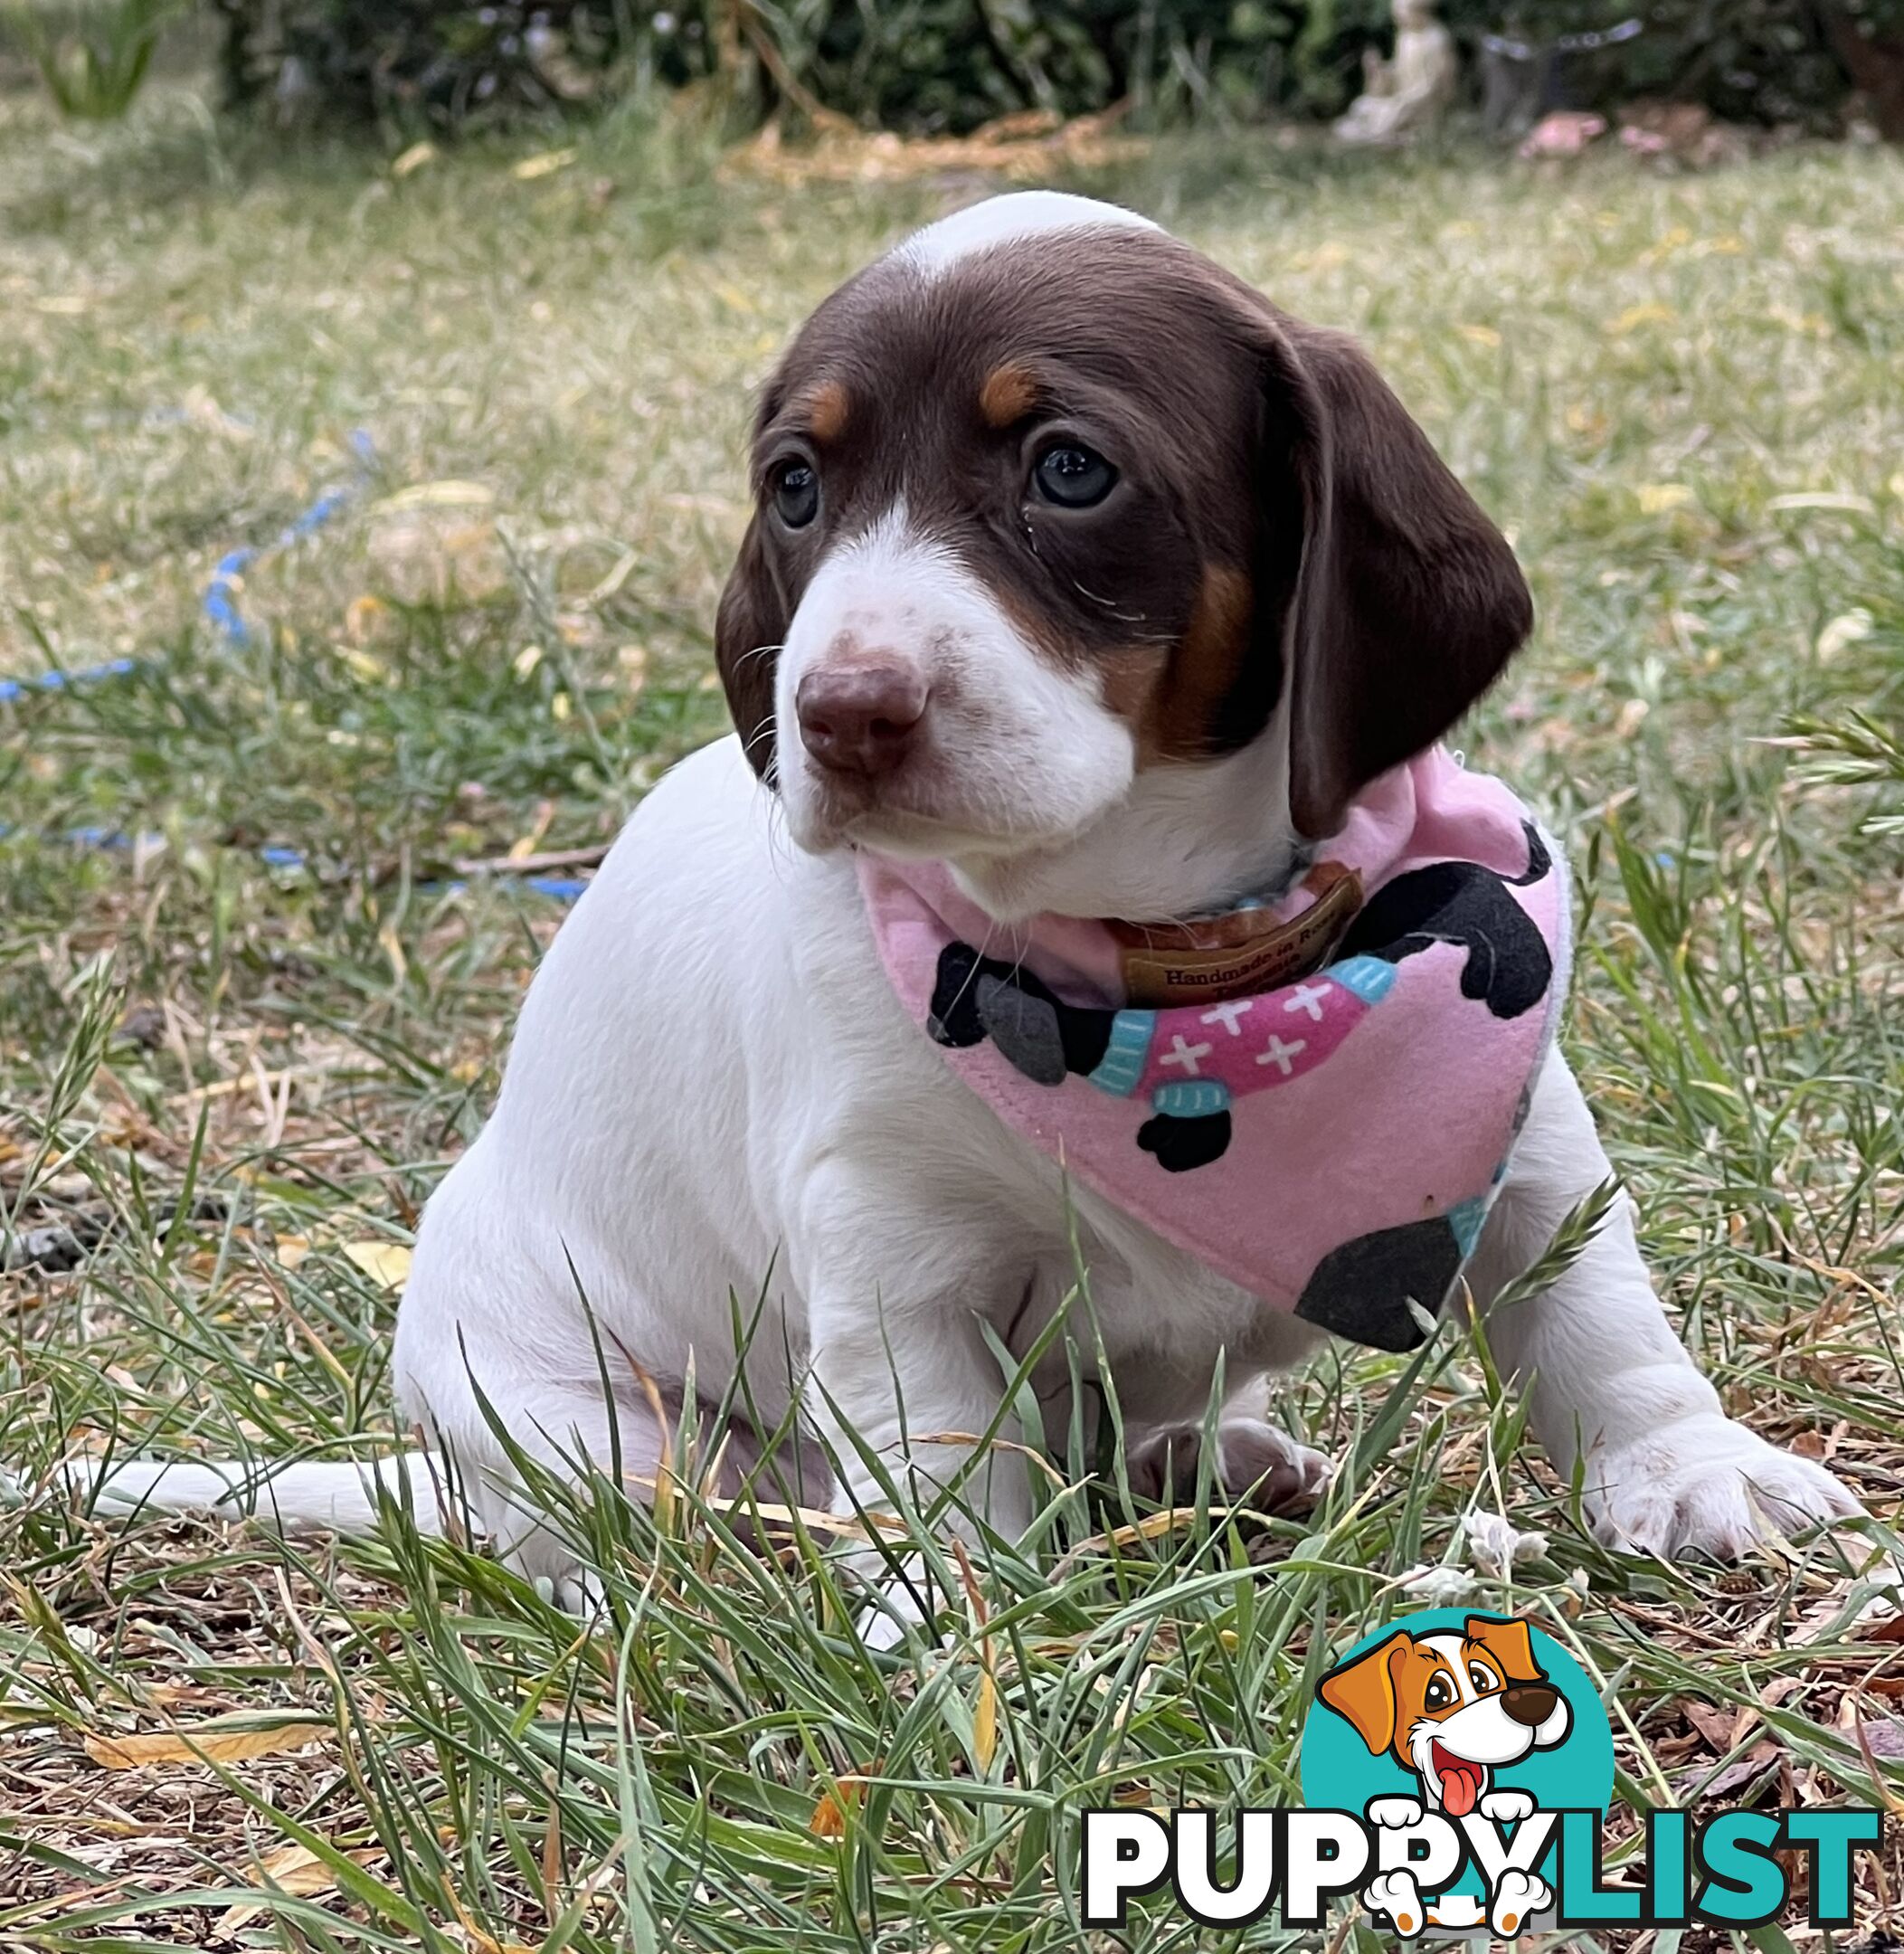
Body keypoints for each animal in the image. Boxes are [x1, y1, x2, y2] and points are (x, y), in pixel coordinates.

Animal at [74, 194, 1859, 1617]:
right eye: (797, 488)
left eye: (1069, 469)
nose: (837, 715)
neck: (1164, 957)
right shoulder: (888, 1249)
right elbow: (942, 1459)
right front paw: (970, 1620)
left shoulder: (1518, 1125)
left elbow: (1597, 1313)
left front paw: (1687, 1468)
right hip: (572, 1417)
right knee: (658, 1515)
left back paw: (1219, 1459)